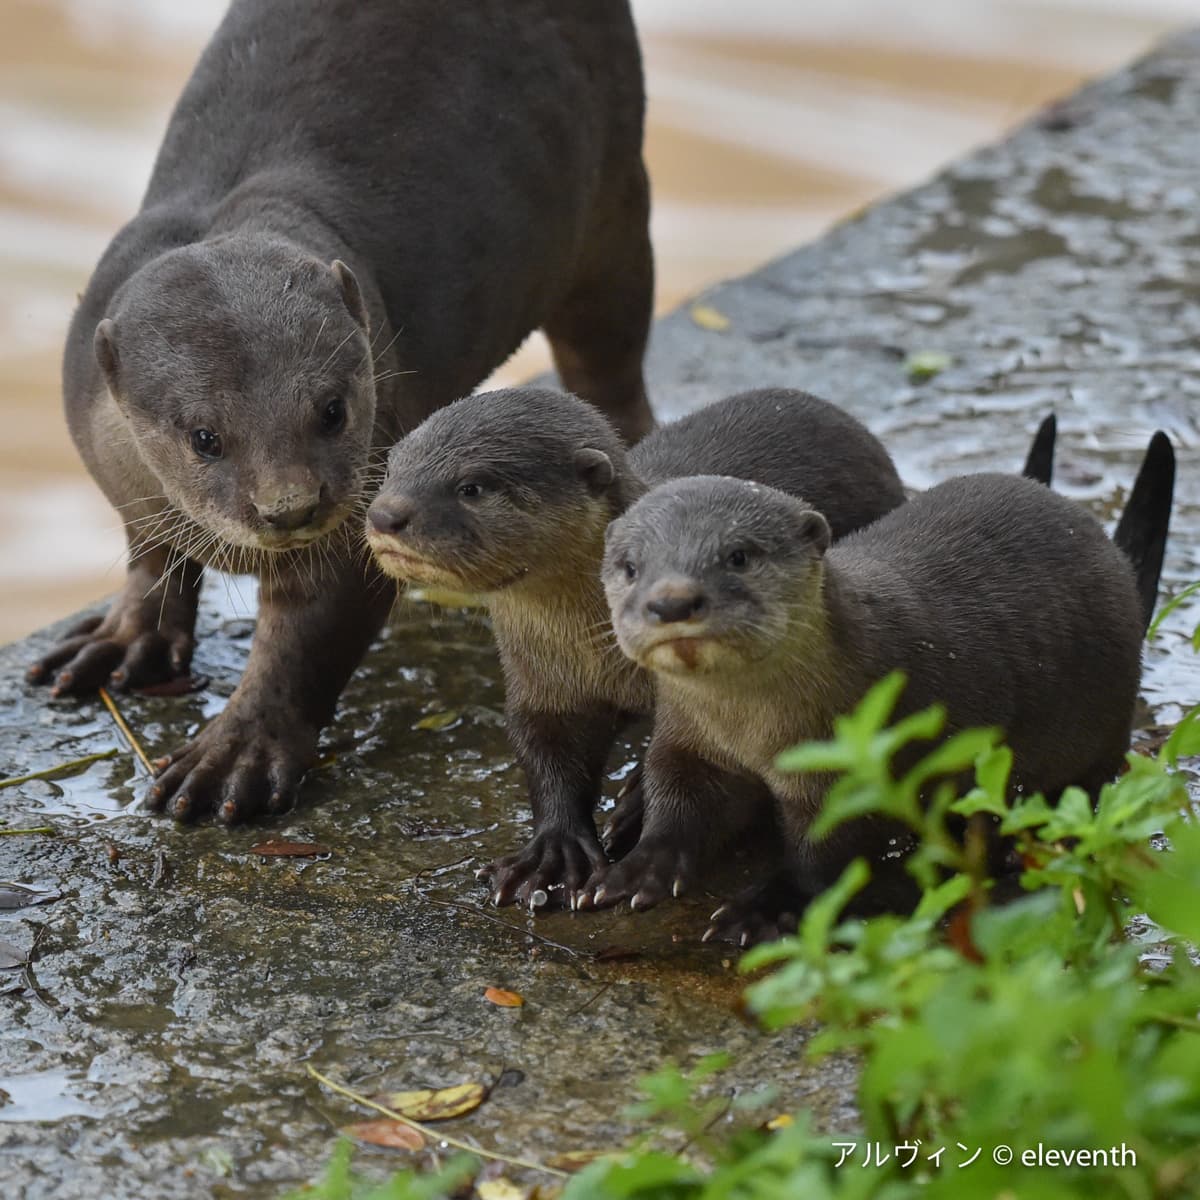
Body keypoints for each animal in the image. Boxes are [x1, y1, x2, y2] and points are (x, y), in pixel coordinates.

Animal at [26, 0, 654, 822]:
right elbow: (150, 553)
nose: (290, 506)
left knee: (612, 367)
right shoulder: (121, 474)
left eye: (331, 409)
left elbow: (308, 637)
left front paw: (237, 754)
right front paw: (125, 639)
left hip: (615, 209)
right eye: (204, 437)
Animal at [366, 385, 910, 908]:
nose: (385, 513)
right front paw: (551, 854)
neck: (592, 647)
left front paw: (634, 813)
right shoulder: (541, 682)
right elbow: (543, 750)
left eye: (471, 486)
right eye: (390, 467)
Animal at [599, 435, 1173, 942]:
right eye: (631, 567)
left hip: (1103, 717)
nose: (672, 601)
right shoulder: (690, 742)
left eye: (739, 555)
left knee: (1093, 785)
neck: (753, 733)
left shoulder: (849, 767)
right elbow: (676, 802)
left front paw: (763, 909)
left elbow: (823, 856)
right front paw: (636, 868)